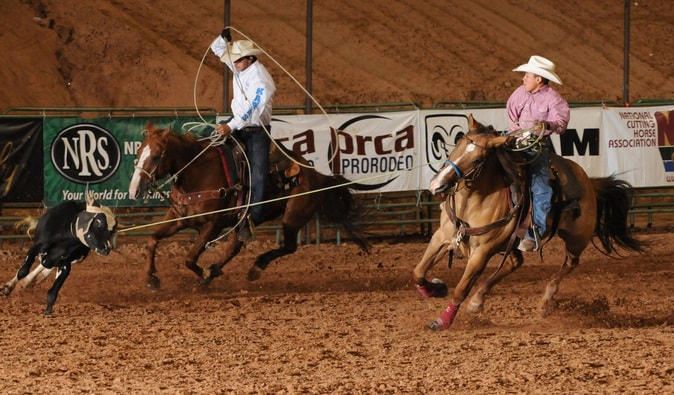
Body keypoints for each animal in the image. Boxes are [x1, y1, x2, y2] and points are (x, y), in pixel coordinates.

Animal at [129, 125, 370, 290]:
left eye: (156, 156)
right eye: (138, 153)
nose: (134, 190)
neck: (198, 173)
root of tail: (316, 174)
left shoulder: (214, 224)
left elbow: (190, 258)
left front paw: (204, 274)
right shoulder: (179, 218)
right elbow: (152, 240)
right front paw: (151, 278)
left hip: (293, 217)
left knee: (289, 246)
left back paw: (254, 267)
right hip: (245, 221)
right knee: (236, 246)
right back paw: (217, 269)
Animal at [412, 115, 644, 332]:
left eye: (478, 160)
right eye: (456, 146)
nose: (437, 184)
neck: (472, 203)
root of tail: (589, 183)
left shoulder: (482, 252)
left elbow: (460, 289)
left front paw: (442, 321)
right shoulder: (442, 237)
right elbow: (418, 272)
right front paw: (436, 288)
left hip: (576, 238)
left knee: (570, 263)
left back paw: (545, 301)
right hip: (511, 242)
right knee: (517, 262)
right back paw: (478, 300)